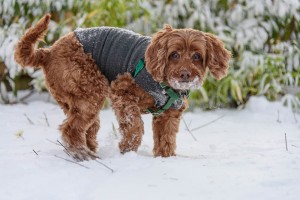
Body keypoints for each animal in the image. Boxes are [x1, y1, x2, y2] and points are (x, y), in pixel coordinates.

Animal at [14, 14, 231, 161]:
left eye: (197, 56)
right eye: (174, 55)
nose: (185, 75)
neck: (163, 82)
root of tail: (48, 52)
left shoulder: (168, 114)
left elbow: (166, 139)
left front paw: (165, 159)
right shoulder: (123, 93)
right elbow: (134, 125)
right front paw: (128, 149)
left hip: (76, 99)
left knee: (88, 129)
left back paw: (88, 151)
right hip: (90, 92)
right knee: (71, 129)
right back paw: (83, 155)